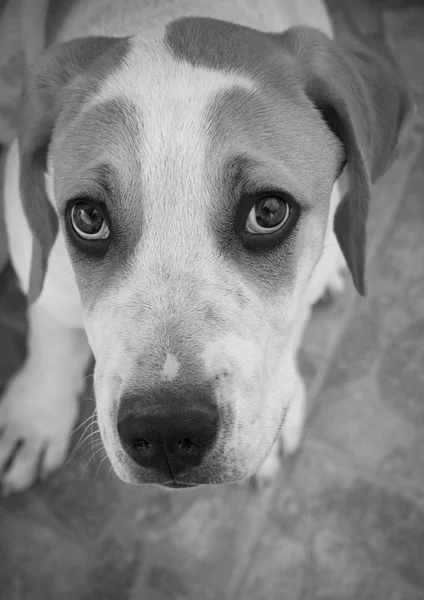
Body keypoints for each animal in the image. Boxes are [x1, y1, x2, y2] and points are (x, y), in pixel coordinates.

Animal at [0, 0, 412, 492]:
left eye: (268, 212)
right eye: (88, 218)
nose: (164, 430)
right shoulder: (31, 242)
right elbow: (51, 331)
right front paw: (34, 419)